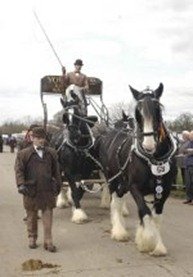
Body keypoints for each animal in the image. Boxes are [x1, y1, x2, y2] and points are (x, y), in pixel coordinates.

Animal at [50, 84, 98, 222]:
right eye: (65, 116)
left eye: (77, 114)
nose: (73, 134)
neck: (79, 146)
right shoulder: (69, 170)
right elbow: (74, 188)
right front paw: (78, 213)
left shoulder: (87, 171)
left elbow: (79, 190)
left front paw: (75, 207)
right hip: (58, 166)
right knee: (61, 181)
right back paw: (61, 200)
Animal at [97, 83, 177, 256]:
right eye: (138, 111)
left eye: (158, 108)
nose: (148, 144)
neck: (153, 159)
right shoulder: (134, 187)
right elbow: (144, 211)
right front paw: (147, 241)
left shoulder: (164, 190)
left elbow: (156, 217)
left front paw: (158, 246)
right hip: (112, 179)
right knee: (115, 202)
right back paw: (118, 231)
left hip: (122, 183)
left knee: (119, 199)